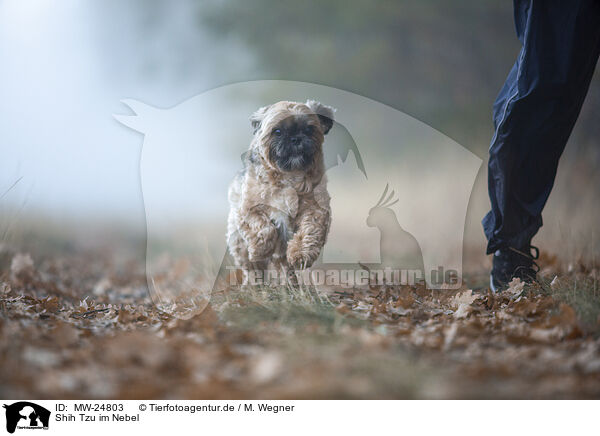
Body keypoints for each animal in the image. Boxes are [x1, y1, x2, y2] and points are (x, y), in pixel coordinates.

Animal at [227, 100, 336, 282]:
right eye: (277, 131)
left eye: (309, 129)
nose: (296, 138)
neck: (289, 175)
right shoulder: (248, 209)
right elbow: (263, 228)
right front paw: (261, 249)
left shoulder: (316, 208)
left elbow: (310, 230)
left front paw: (301, 254)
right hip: (238, 242)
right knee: (252, 268)